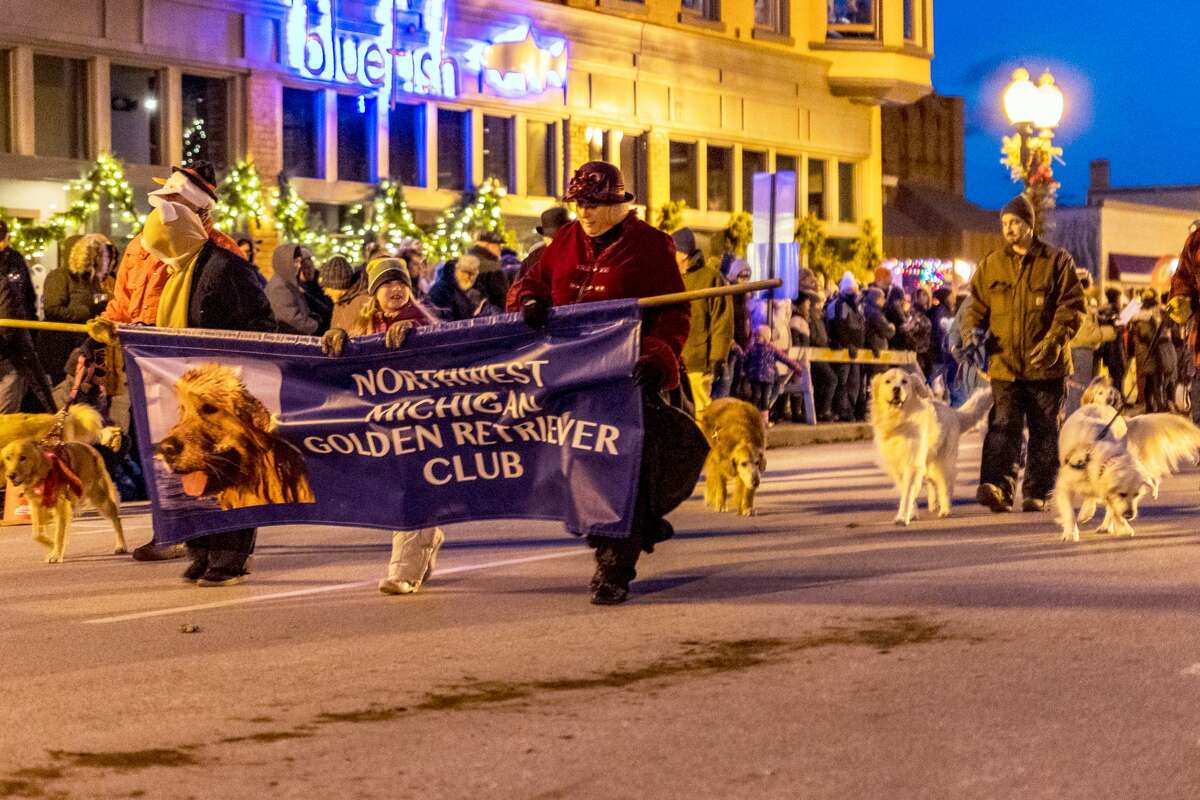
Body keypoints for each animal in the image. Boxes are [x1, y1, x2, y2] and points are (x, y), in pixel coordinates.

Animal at [873, 367, 993, 525]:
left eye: (904, 381)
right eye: (888, 381)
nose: (896, 389)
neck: (900, 421)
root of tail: (953, 412)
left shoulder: (912, 463)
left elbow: (908, 492)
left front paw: (902, 517)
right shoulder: (896, 466)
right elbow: (906, 490)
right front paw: (911, 513)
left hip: (942, 461)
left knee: (946, 483)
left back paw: (945, 509)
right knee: (932, 482)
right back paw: (933, 504)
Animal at [1056, 402, 1200, 542]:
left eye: (1136, 494)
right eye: (1122, 494)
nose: (1130, 515)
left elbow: (1112, 506)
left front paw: (1122, 527)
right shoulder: (1064, 485)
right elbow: (1069, 510)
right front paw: (1070, 533)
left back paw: (1101, 522)